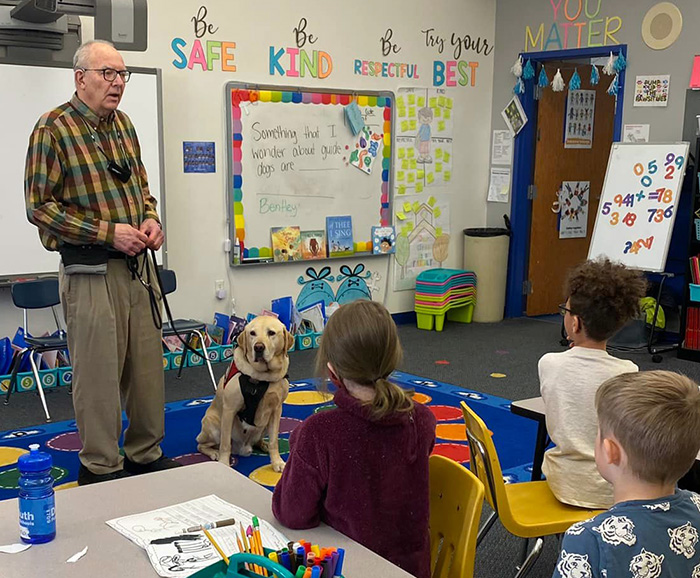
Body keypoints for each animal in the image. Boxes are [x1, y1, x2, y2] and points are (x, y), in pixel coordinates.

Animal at [197, 316, 292, 472]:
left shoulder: (276, 410)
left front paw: (277, 462)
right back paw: (214, 453)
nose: (258, 347)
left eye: (271, 333)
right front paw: (224, 464)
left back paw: (263, 445)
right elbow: (225, 444)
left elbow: (274, 441)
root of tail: (243, 449)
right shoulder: (229, 409)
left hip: (264, 424)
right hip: (213, 424)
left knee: (259, 440)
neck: (263, 377)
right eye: (252, 333)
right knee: (202, 445)